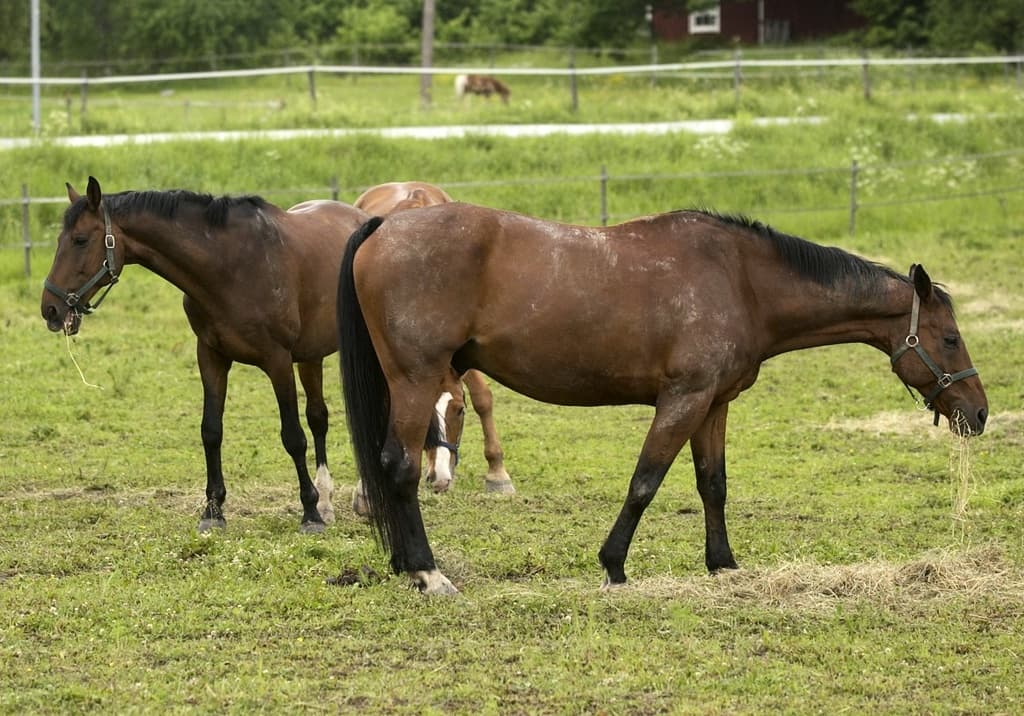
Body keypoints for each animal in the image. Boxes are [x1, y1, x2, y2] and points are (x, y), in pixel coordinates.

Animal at [41, 176, 370, 533]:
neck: (230, 266)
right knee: (318, 417)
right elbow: (211, 431)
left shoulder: (278, 361)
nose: (50, 309)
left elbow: (293, 436)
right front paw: (214, 510)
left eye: (80, 240)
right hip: (311, 355)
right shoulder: (211, 356)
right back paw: (327, 502)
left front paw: (309, 513)